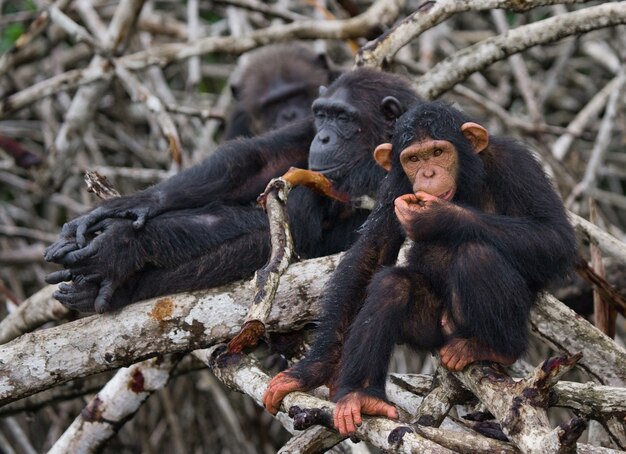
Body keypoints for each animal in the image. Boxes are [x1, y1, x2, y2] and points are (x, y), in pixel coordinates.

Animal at [46, 69, 422, 314]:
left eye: (344, 118)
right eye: (323, 114)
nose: (324, 137)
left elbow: (296, 228)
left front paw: (122, 248)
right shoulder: (304, 127)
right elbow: (256, 160)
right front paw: (132, 206)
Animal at [262, 101, 576, 434]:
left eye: (438, 152)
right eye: (413, 159)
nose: (428, 172)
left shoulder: (517, 164)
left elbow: (554, 236)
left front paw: (436, 216)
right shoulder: (395, 183)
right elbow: (372, 250)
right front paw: (313, 370)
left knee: (477, 254)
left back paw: (492, 347)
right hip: (428, 331)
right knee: (392, 285)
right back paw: (362, 396)